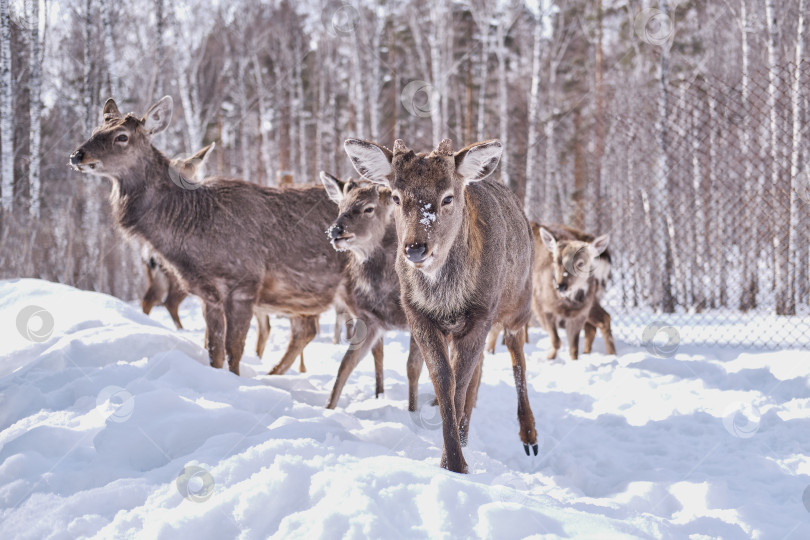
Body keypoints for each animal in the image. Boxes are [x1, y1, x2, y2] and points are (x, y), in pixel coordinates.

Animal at [69, 97, 348, 376]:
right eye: (95, 130)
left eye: (122, 136)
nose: (77, 154)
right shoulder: (208, 294)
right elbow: (215, 350)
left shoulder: (244, 283)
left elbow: (234, 350)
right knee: (304, 331)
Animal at [318, 172, 422, 410]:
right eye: (340, 206)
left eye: (369, 208)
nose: (336, 230)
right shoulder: (370, 319)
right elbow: (346, 363)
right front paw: (328, 408)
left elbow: (413, 368)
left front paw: (412, 410)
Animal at [340, 138, 536, 472]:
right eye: (395, 196)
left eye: (447, 197)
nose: (416, 248)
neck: (447, 299)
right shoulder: (417, 314)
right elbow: (444, 380)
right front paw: (453, 459)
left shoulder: (481, 314)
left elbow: (459, 381)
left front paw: (454, 463)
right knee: (478, 376)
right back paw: (466, 434)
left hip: (519, 304)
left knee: (517, 354)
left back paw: (529, 436)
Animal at [532, 221, 616, 360]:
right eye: (556, 261)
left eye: (580, 263)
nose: (561, 286)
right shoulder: (542, 306)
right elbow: (558, 340)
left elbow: (570, 347)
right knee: (600, 321)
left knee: (603, 319)